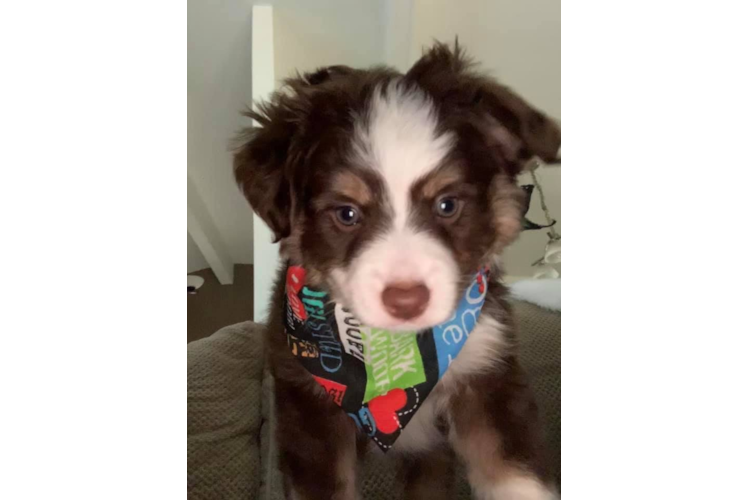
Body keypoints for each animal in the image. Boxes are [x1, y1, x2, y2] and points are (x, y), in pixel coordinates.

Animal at [235, 43, 560, 500]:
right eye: (347, 213)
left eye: (447, 204)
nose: (407, 300)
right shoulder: (310, 410)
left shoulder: (488, 374)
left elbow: (513, 474)